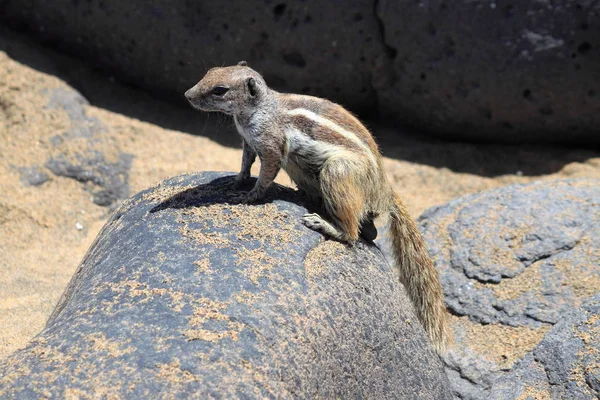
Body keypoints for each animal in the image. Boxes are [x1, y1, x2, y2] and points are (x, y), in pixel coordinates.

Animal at [185, 60, 452, 354]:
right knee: (369, 231)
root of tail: (384, 191)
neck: (257, 110)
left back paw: (324, 223)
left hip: (337, 173)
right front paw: (237, 180)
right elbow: (246, 162)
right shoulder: (248, 142)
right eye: (209, 72)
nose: (187, 95)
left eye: (220, 90)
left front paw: (250, 196)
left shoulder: (271, 144)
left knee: (352, 234)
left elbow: (266, 173)